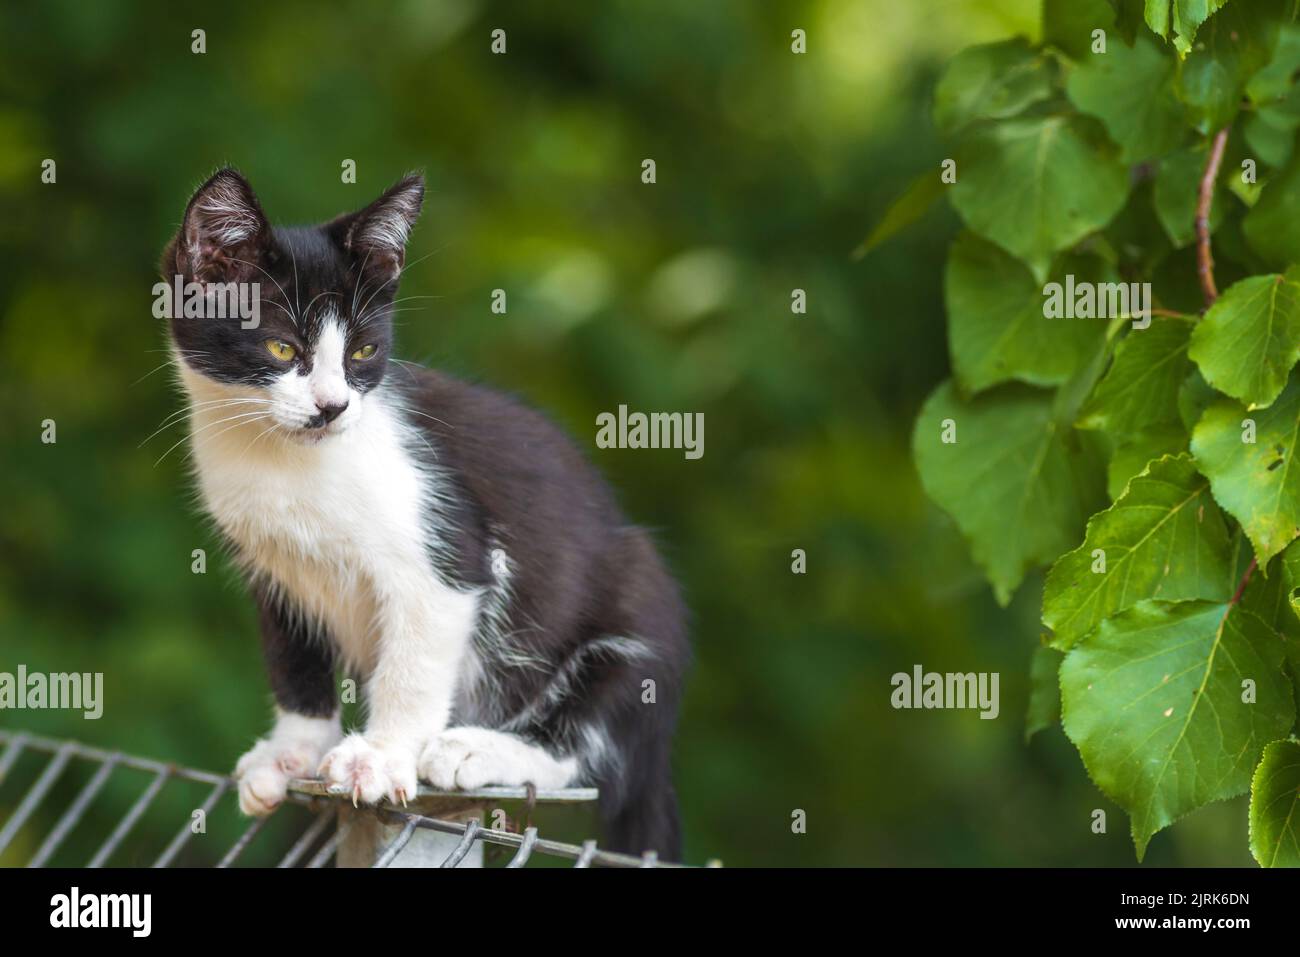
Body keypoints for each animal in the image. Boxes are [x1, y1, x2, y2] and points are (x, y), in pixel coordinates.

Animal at [161, 167, 691, 858]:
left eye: (362, 353)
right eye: (280, 347)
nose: (333, 407)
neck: (282, 463)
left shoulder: (449, 550)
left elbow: (411, 667)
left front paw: (380, 755)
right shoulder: (270, 569)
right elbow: (292, 660)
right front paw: (292, 751)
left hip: (640, 608)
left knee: (590, 749)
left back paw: (476, 750)